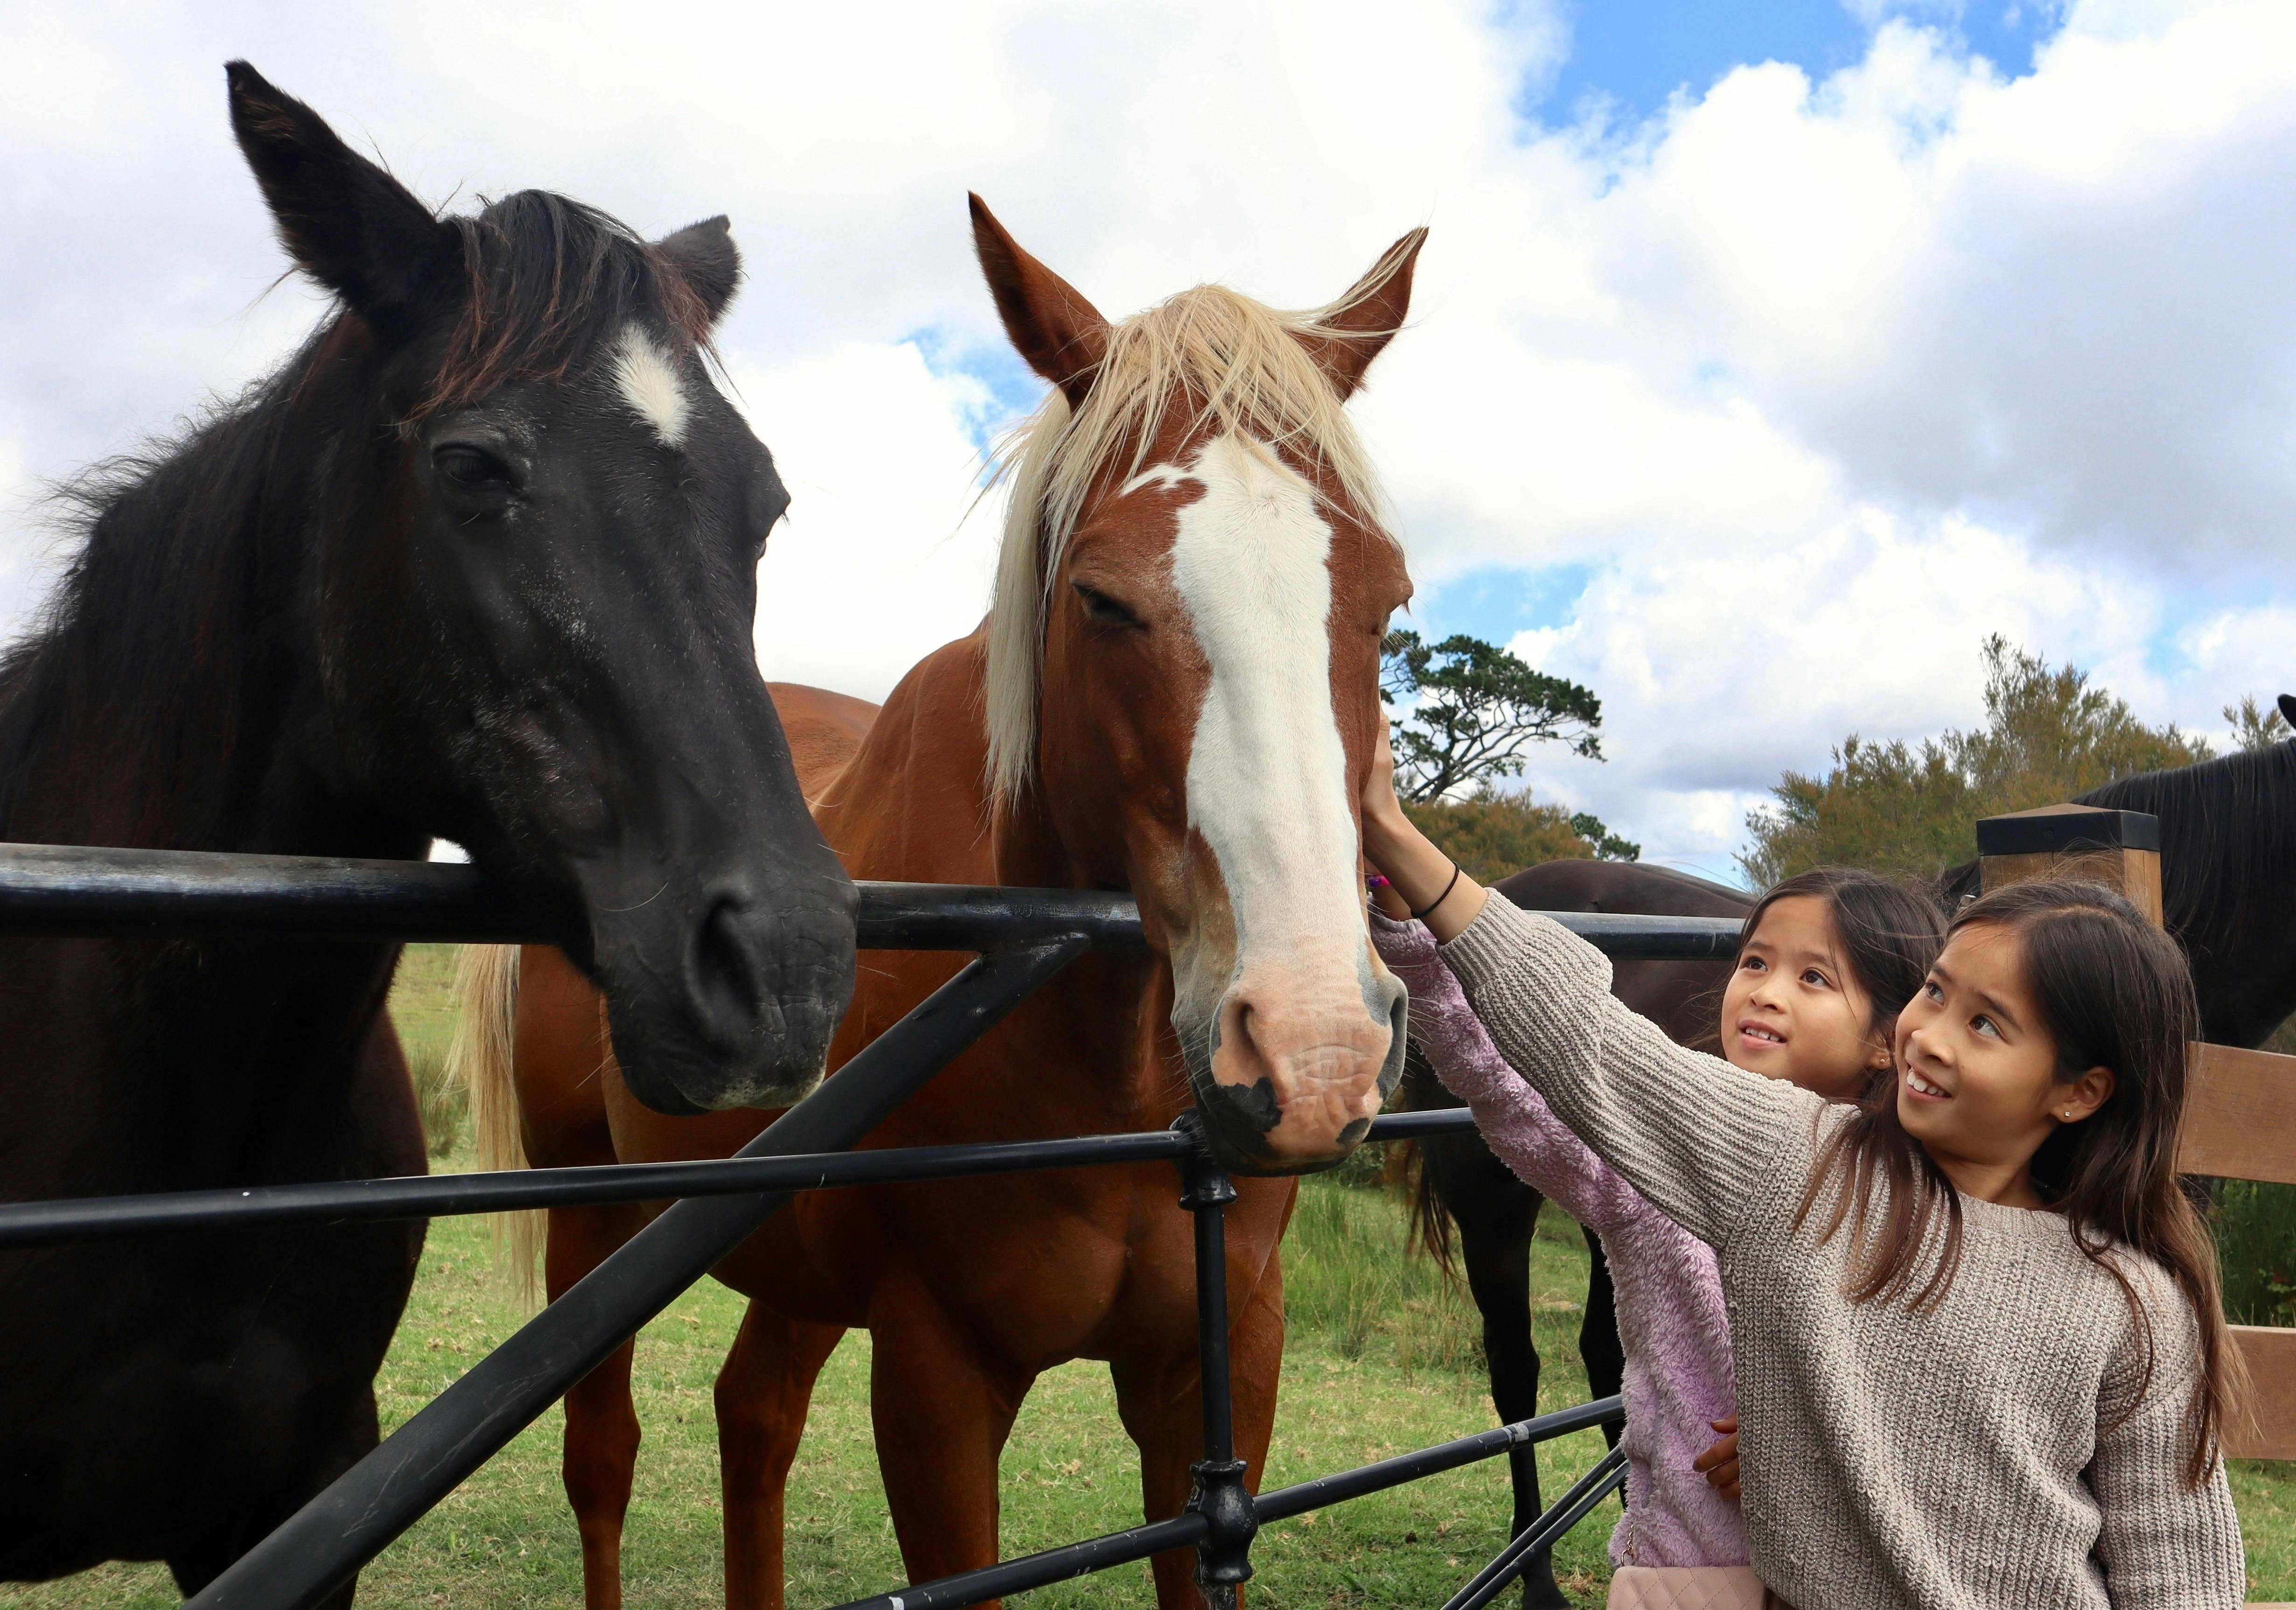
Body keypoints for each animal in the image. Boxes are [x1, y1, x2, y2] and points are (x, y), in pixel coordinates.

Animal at [463, 196, 1425, 1610]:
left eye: (1384, 602)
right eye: (1101, 598)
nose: (1312, 1054)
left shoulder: (1219, 1365)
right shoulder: (939, 1375)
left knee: (753, 1418)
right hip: (592, 1223)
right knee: (606, 1454)